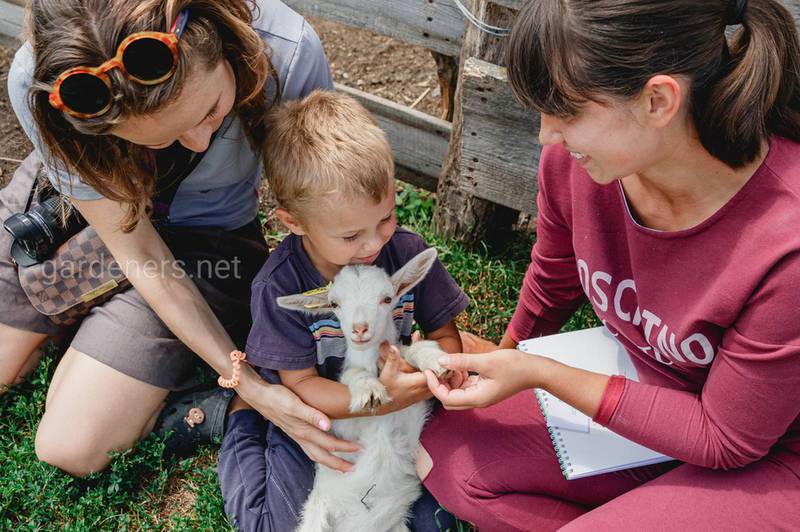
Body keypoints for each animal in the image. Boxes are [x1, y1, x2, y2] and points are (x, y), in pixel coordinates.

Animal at [276, 249, 450, 532]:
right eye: (334, 304)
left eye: (387, 298)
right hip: (317, 515)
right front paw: (368, 390)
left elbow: (409, 351)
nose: (359, 329)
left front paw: (435, 360)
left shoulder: (411, 418)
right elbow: (352, 375)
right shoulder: (344, 430)